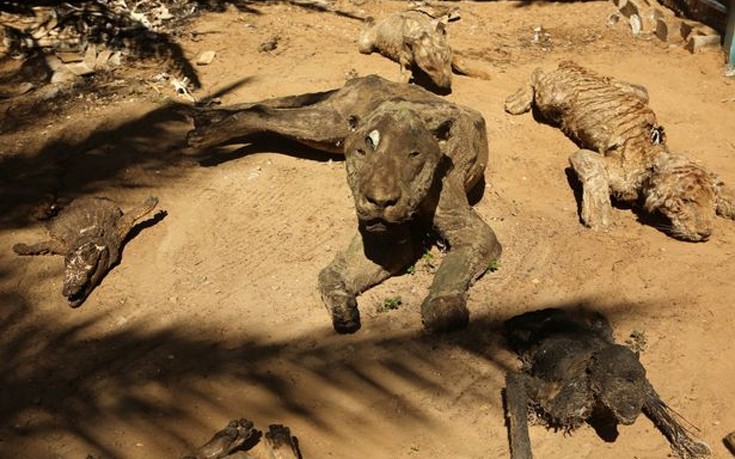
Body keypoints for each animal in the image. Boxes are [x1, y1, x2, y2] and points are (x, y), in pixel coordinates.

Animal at [187, 75, 504, 334]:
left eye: (413, 154)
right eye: (363, 151)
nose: (379, 201)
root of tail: (370, 78)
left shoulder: (465, 230)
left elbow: (452, 270)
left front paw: (442, 306)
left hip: (324, 132)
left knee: (266, 111)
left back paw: (204, 118)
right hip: (328, 125)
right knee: (261, 113)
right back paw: (202, 134)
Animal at [506, 61, 735, 243]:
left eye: (712, 204)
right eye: (686, 201)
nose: (705, 234)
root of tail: (570, 64)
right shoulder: (586, 156)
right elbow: (596, 178)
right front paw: (599, 217)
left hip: (640, 93)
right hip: (554, 96)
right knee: (537, 73)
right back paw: (515, 101)